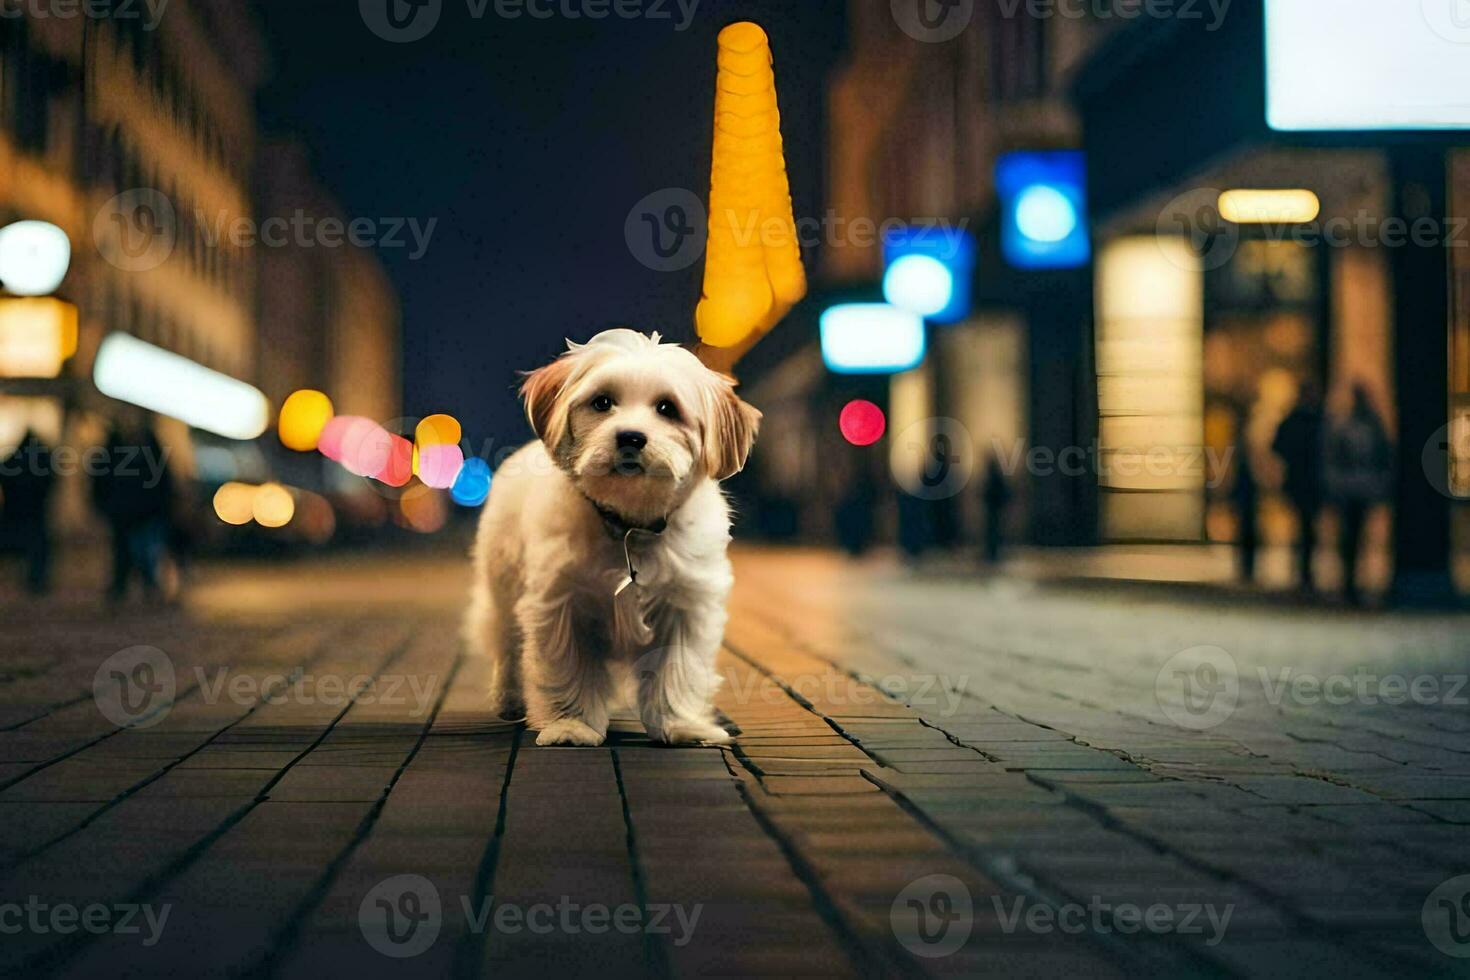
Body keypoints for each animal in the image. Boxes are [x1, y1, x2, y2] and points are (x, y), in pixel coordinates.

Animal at [464, 326, 764, 746]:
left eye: (667, 408)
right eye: (602, 402)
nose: (631, 437)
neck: (629, 525)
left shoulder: (686, 607)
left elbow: (675, 673)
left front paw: (681, 725)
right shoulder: (561, 605)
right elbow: (567, 669)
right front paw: (570, 725)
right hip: (503, 590)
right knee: (507, 645)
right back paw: (509, 698)